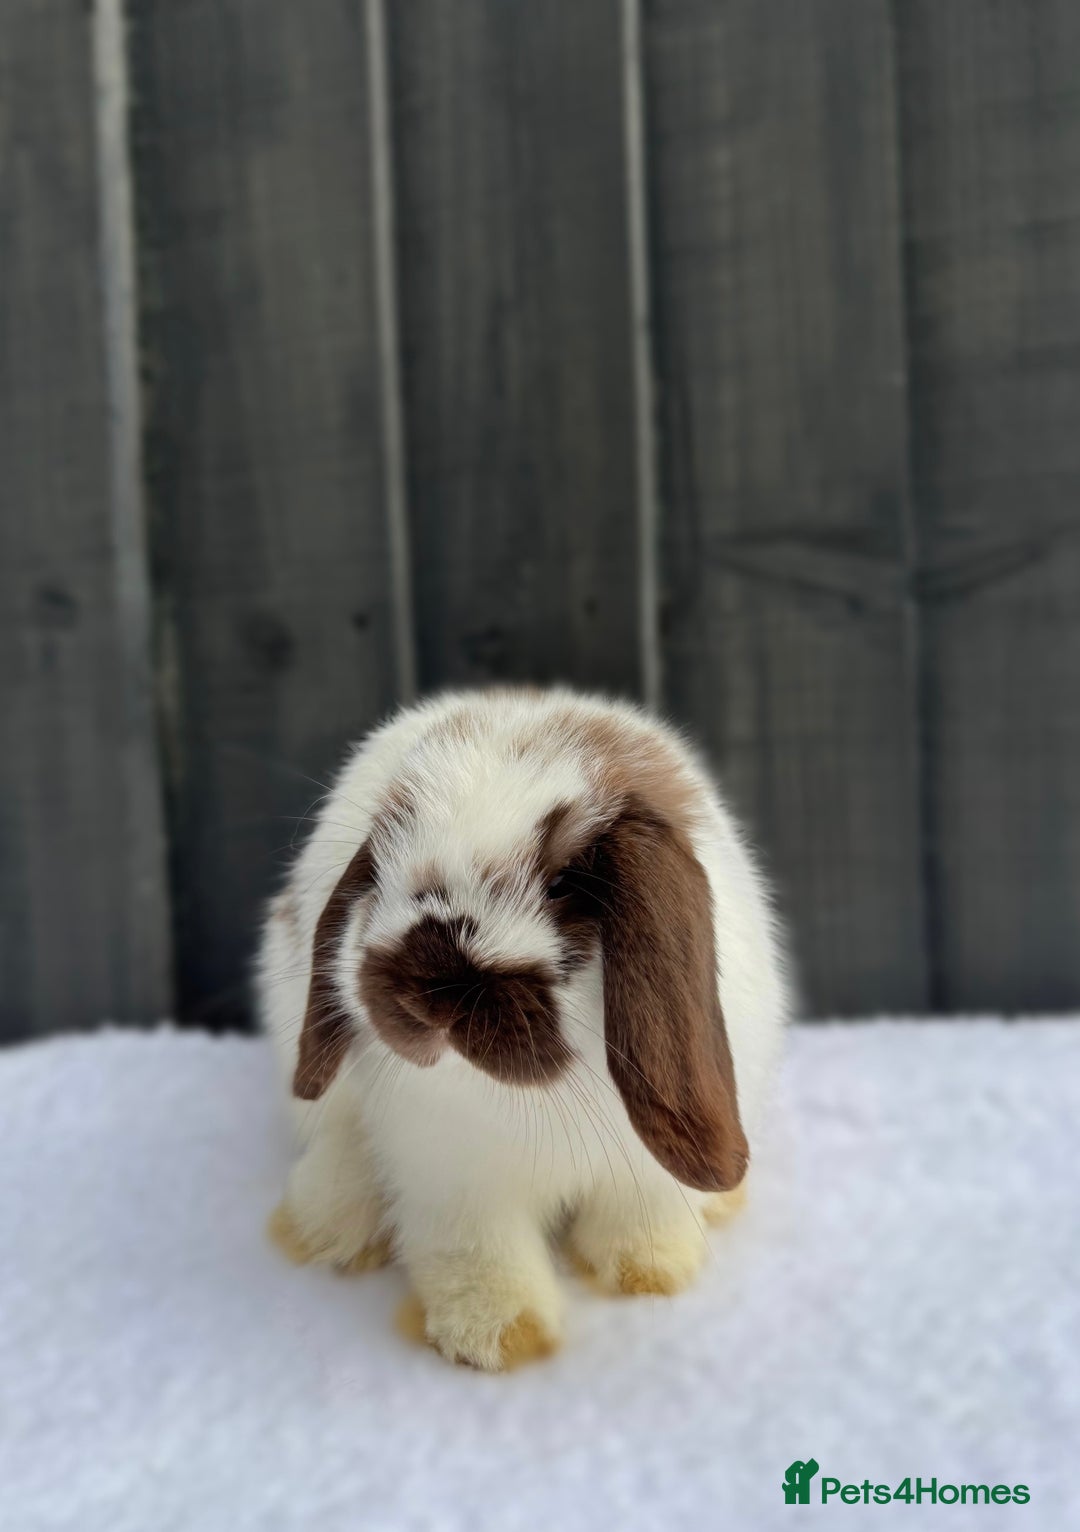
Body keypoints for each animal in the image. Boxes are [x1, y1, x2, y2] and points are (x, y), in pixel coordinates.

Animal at [258, 686, 789, 1370]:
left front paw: (647, 1273)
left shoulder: (647, 1175)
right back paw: (326, 1226)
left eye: (564, 884)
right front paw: (498, 1339)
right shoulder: (455, 1174)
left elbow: (643, 1217)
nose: (430, 989)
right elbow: (478, 1253)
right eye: (381, 869)